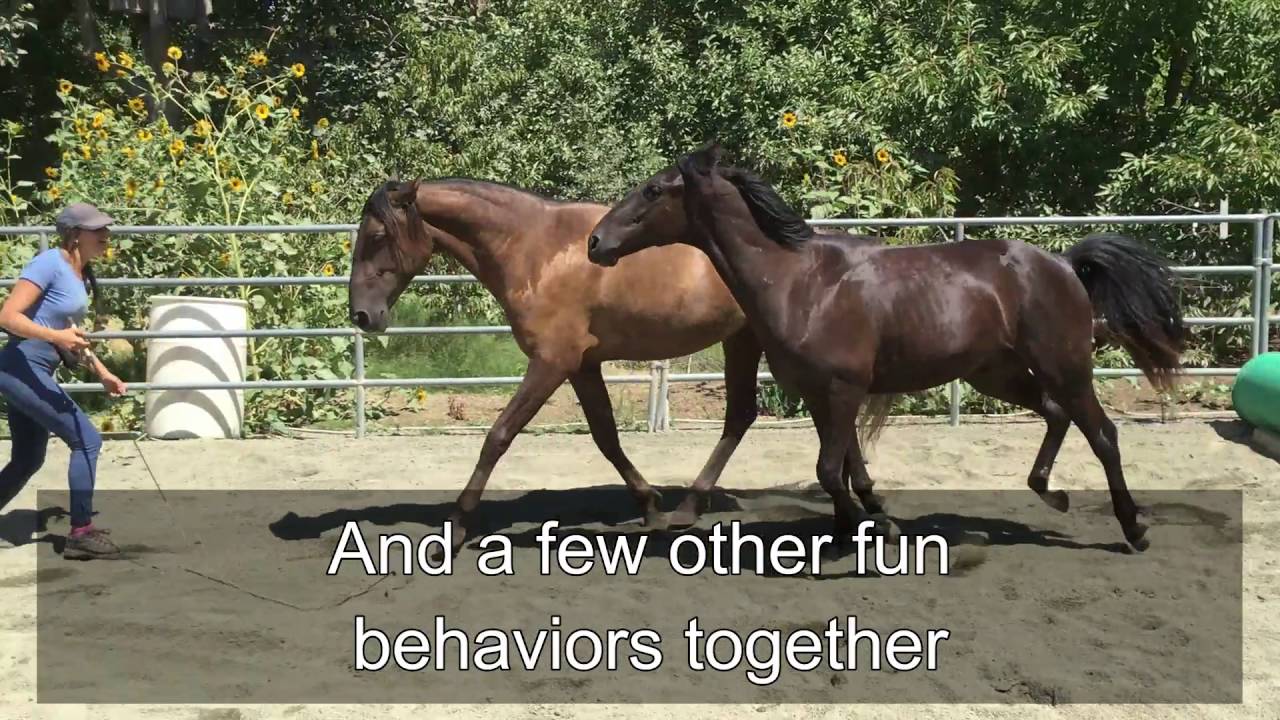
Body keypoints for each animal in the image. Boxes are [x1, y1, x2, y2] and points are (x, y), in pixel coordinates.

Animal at [345, 177, 889, 551]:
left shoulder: (551, 362)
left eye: (377, 237)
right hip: (754, 345)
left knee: (772, 417)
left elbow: (498, 436)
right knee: (794, 420)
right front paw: (649, 507)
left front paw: (457, 528)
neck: (534, 249)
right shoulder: (581, 366)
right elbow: (606, 436)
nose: (362, 316)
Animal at [585, 143, 1186, 552]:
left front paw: (869, 529)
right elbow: (847, 463)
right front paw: (862, 523)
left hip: (1065, 367)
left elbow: (831, 470)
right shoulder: (823, 393)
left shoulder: (842, 388)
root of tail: (1063, 264)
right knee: (1056, 416)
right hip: (996, 374)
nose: (595, 242)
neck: (799, 280)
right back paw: (1050, 493)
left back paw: (1133, 527)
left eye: (653, 190)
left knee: (1103, 435)